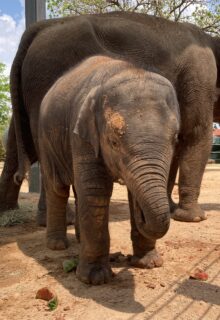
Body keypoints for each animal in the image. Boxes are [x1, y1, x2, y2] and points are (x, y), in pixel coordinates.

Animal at [0, 11, 219, 222]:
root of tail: (41, 26)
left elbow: (177, 142)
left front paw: (171, 209)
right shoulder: (200, 74)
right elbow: (196, 134)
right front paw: (194, 218)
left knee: (17, 145)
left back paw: (8, 211)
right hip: (46, 78)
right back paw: (61, 219)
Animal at [39, 55, 180, 284]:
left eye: (175, 139)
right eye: (113, 142)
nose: (125, 260)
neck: (124, 68)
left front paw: (149, 264)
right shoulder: (83, 135)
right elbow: (95, 192)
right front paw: (95, 279)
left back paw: (79, 240)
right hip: (45, 139)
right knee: (57, 187)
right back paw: (57, 245)